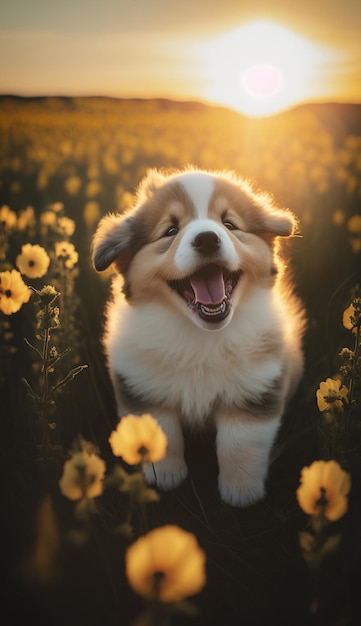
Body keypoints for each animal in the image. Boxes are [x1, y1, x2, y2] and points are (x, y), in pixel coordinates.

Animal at [92, 165, 304, 502]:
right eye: (170, 230)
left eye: (229, 224)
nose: (207, 239)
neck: (200, 336)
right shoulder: (143, 386)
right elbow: (162, 436)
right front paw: (165, 479)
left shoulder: (256, 388)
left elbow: (241, 445)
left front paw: (241, 494)